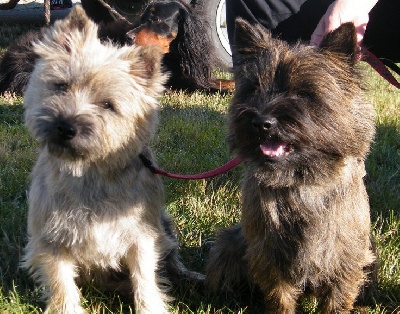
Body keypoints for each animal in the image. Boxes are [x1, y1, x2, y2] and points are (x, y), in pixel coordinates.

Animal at [21, 6, 200, 312]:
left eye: (108, 105)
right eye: (61, 86)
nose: (66, 126)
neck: (89, 171)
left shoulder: (141, 236)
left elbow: (145, 277)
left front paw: (150, 306)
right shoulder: (51, 239)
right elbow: (61, 282)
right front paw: (66, 307)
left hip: (164, 223)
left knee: (172, 258)